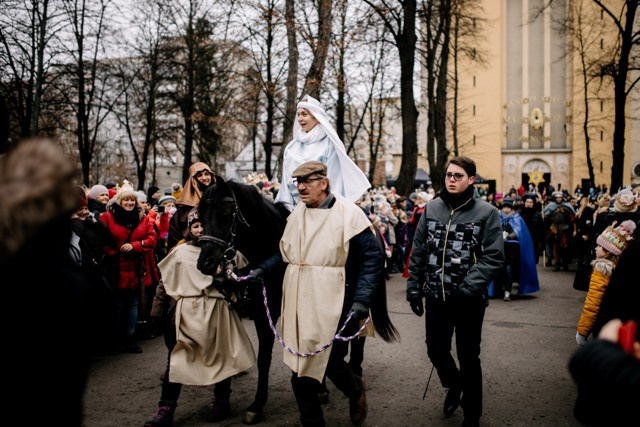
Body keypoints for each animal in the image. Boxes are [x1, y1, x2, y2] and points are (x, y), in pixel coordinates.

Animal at [195, 176, 284, 426]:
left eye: (226, 214)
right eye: (200, 215)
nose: (205, 263)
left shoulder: (268, 314)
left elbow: (264, 358)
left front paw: (257, 405)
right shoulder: (236, 308)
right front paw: (223, 403)